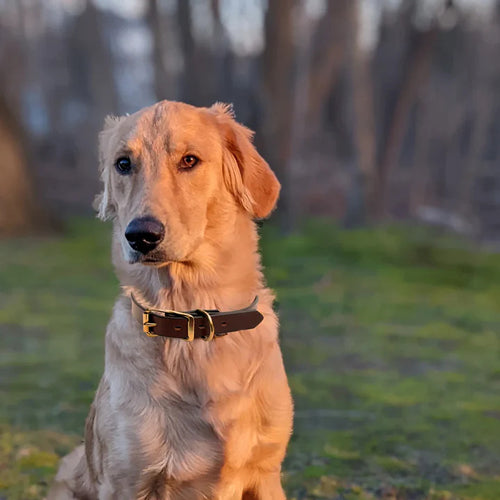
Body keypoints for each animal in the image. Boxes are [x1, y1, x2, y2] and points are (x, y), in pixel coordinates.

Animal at [47, 101, 292, 500]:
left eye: (189, 160)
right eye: (123, 163)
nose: (141, 235)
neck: (192, 315)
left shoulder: (266, 471)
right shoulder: (127, 478)